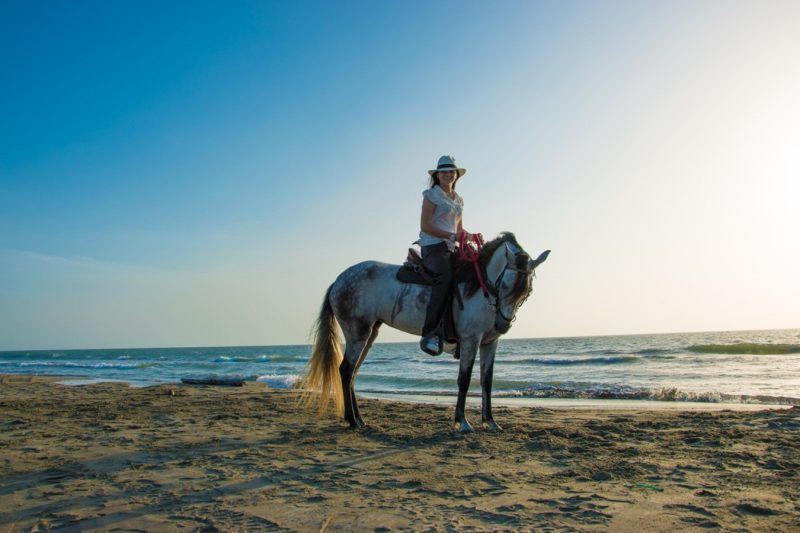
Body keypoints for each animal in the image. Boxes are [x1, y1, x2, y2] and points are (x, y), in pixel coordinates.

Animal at [302, 233, 552, 432]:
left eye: (527, 291)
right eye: (506, 284)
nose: (503, 325)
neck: (479, 287)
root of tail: (338, 281)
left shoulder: (490, 343)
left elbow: (486, 380)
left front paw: (490, 421)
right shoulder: (471, 340)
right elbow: (464, 379)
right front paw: (462, 422)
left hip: (369, 334)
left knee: (353, 372)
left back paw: (359, 419)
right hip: (357, 333)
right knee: (345, 370)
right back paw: (353, 420)